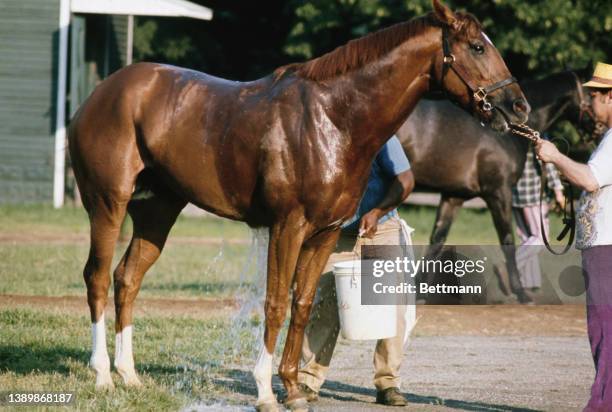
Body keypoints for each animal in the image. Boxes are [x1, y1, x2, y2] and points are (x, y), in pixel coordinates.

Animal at [67, 1, 528, 410]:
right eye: (478, 47)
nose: (518, 106)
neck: (333, 119)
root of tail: (103, 92)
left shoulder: (324, 233)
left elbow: (303, 305)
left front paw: (292, 389)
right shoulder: (287, 226)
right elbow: (275, 303)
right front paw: (265, 391)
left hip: (157, 211)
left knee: (128, 279)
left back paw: (130, 375)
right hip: (107, 204)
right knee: (98, 278)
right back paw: (104, 375)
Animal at [396, 68, 592, 302]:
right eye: (591, 96)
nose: (597, 130)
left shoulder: (454, 196)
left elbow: (437, 240)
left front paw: (419, 293)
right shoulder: (499, 193)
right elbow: (507, 240)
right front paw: (521, 293)